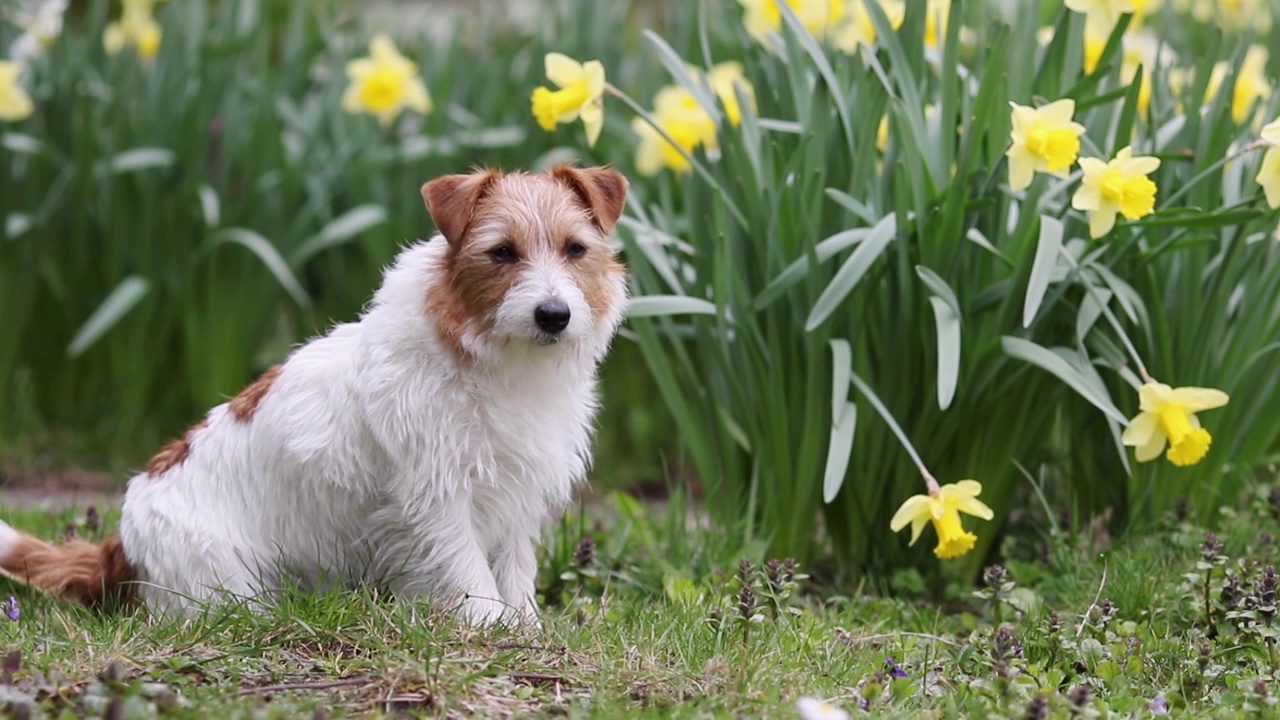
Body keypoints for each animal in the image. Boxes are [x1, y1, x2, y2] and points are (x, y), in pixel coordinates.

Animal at [0, 162, 629, 622]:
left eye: (575, 249)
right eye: (502, 252)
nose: (554, 314)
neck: (490, 359)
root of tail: (121, 545)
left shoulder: (515, 495)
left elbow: (514, 572)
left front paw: (527, 628)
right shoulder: (438, 499)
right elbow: (470, 574)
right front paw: (495, 630)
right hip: (229, 589)